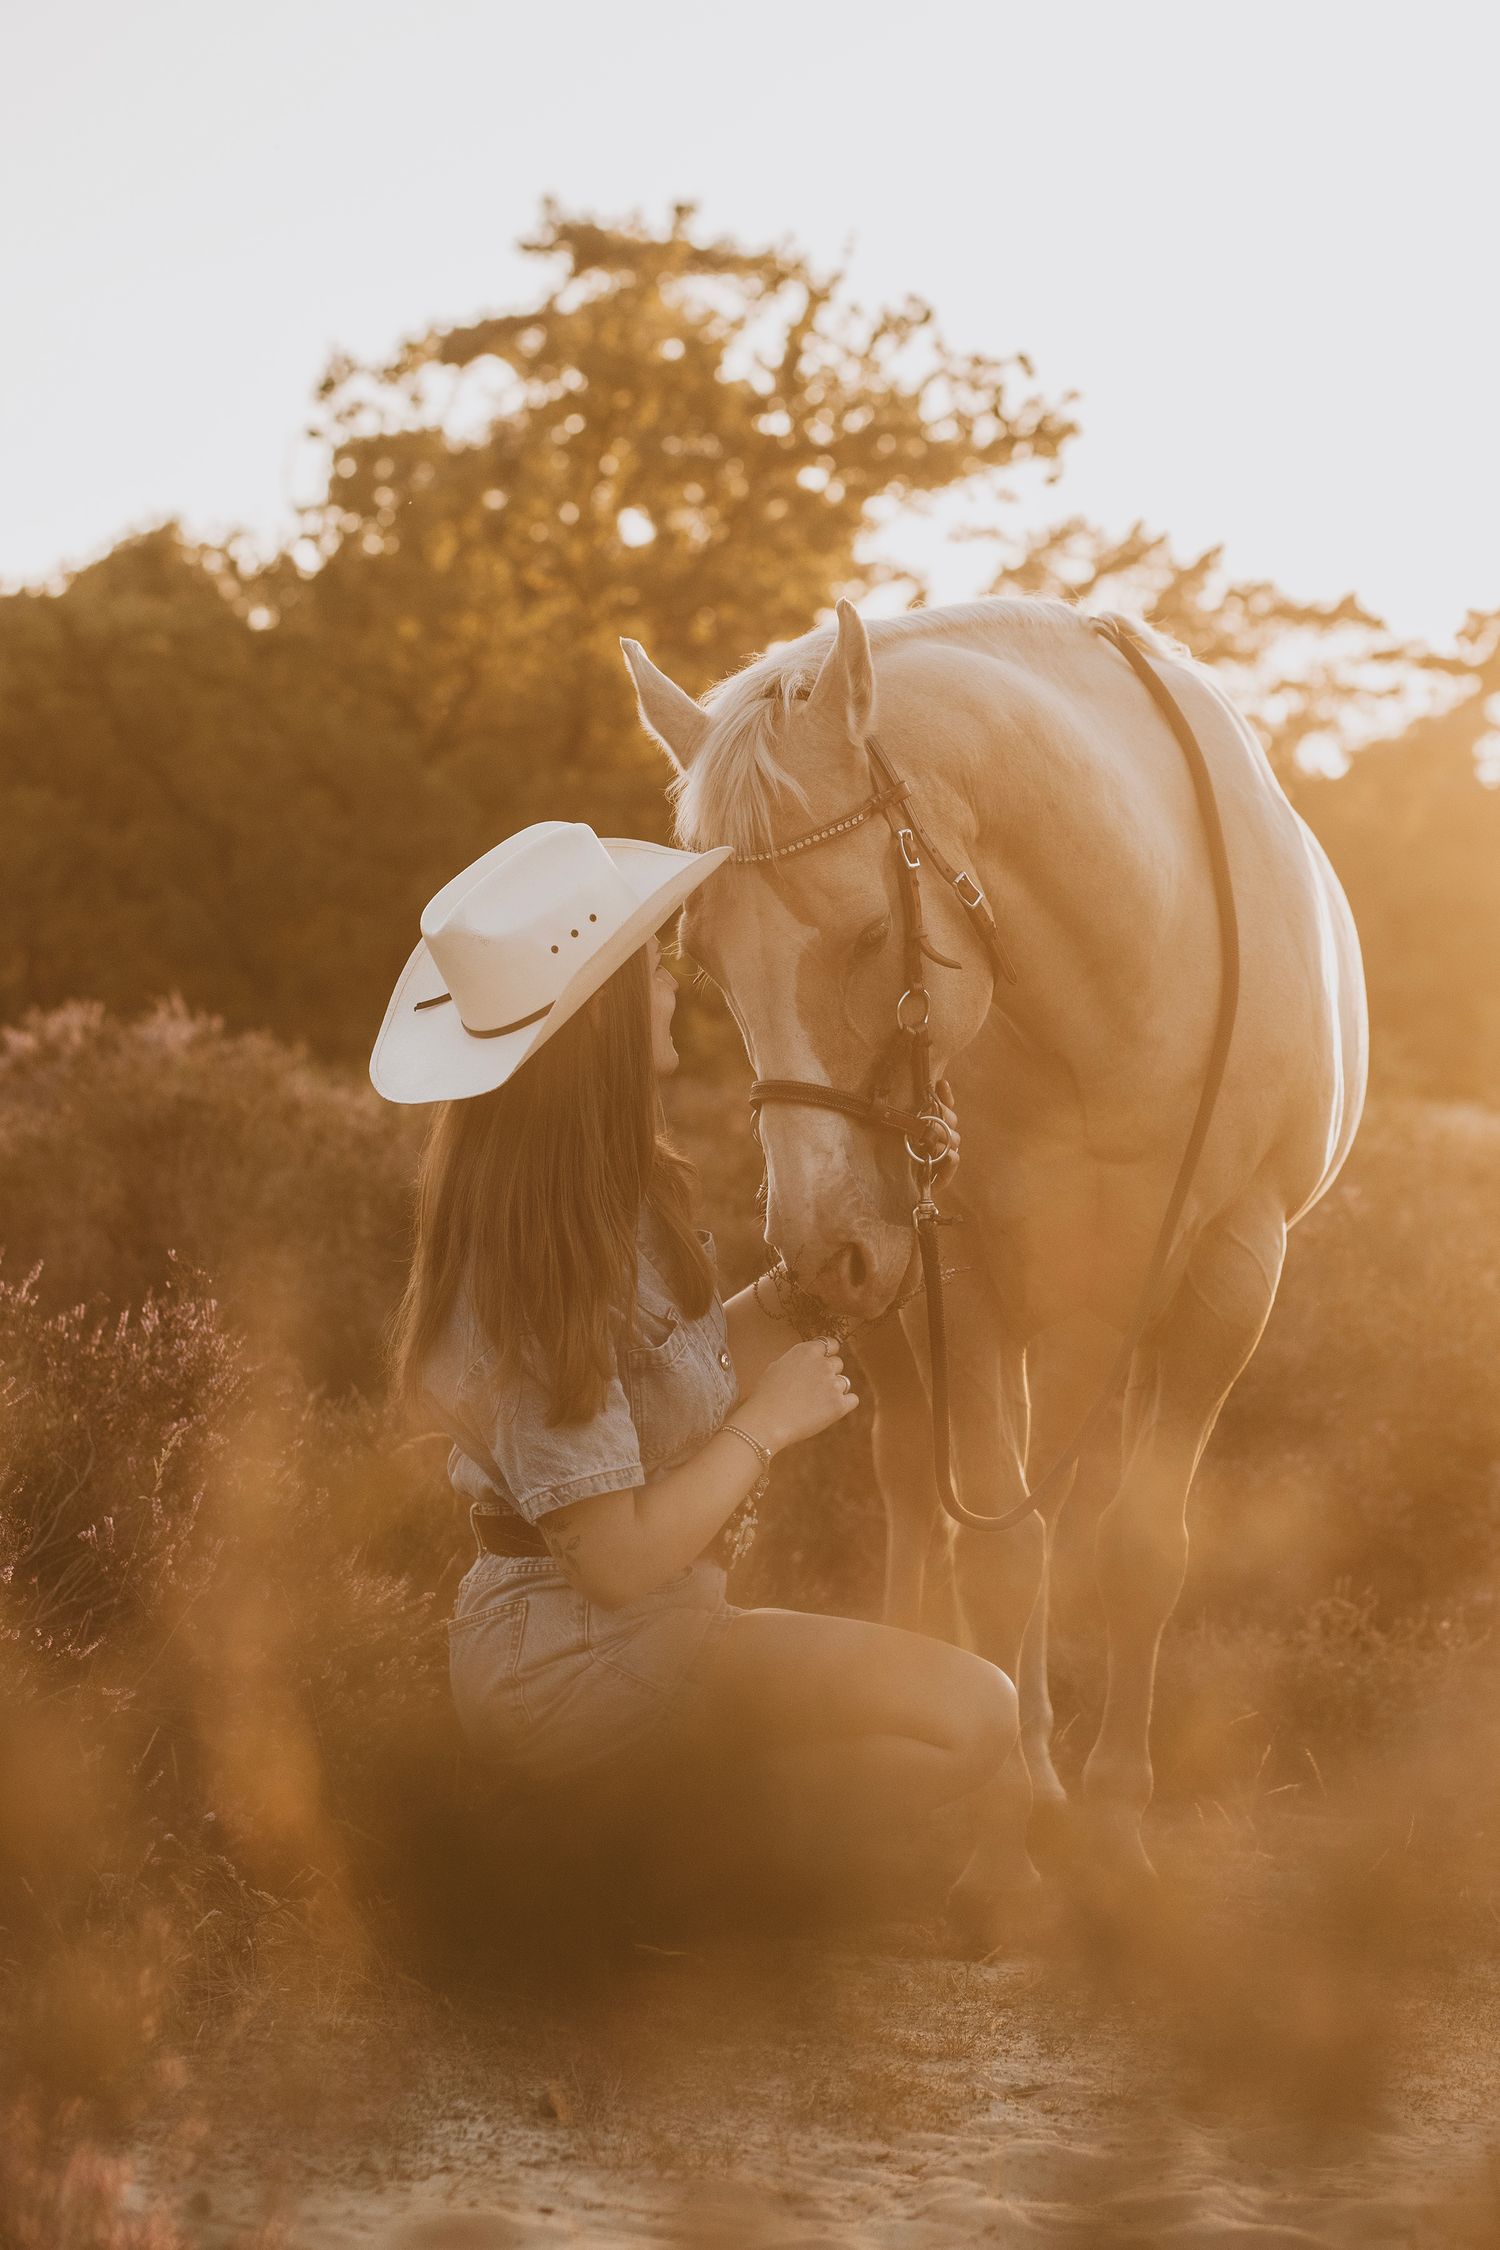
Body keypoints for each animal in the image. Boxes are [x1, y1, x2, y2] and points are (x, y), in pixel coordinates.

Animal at [622, 596, 1367, 1942]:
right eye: (702, 955)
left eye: (875, 931)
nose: (824, 1252)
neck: (1127, 964)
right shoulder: (955, 1278)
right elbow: (1001, 1555)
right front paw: (1002, 1860)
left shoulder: (1230, 1274)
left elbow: (1138, 1552)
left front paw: (1114, 1834)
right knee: (926, 1501)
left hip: (1084, 1321)